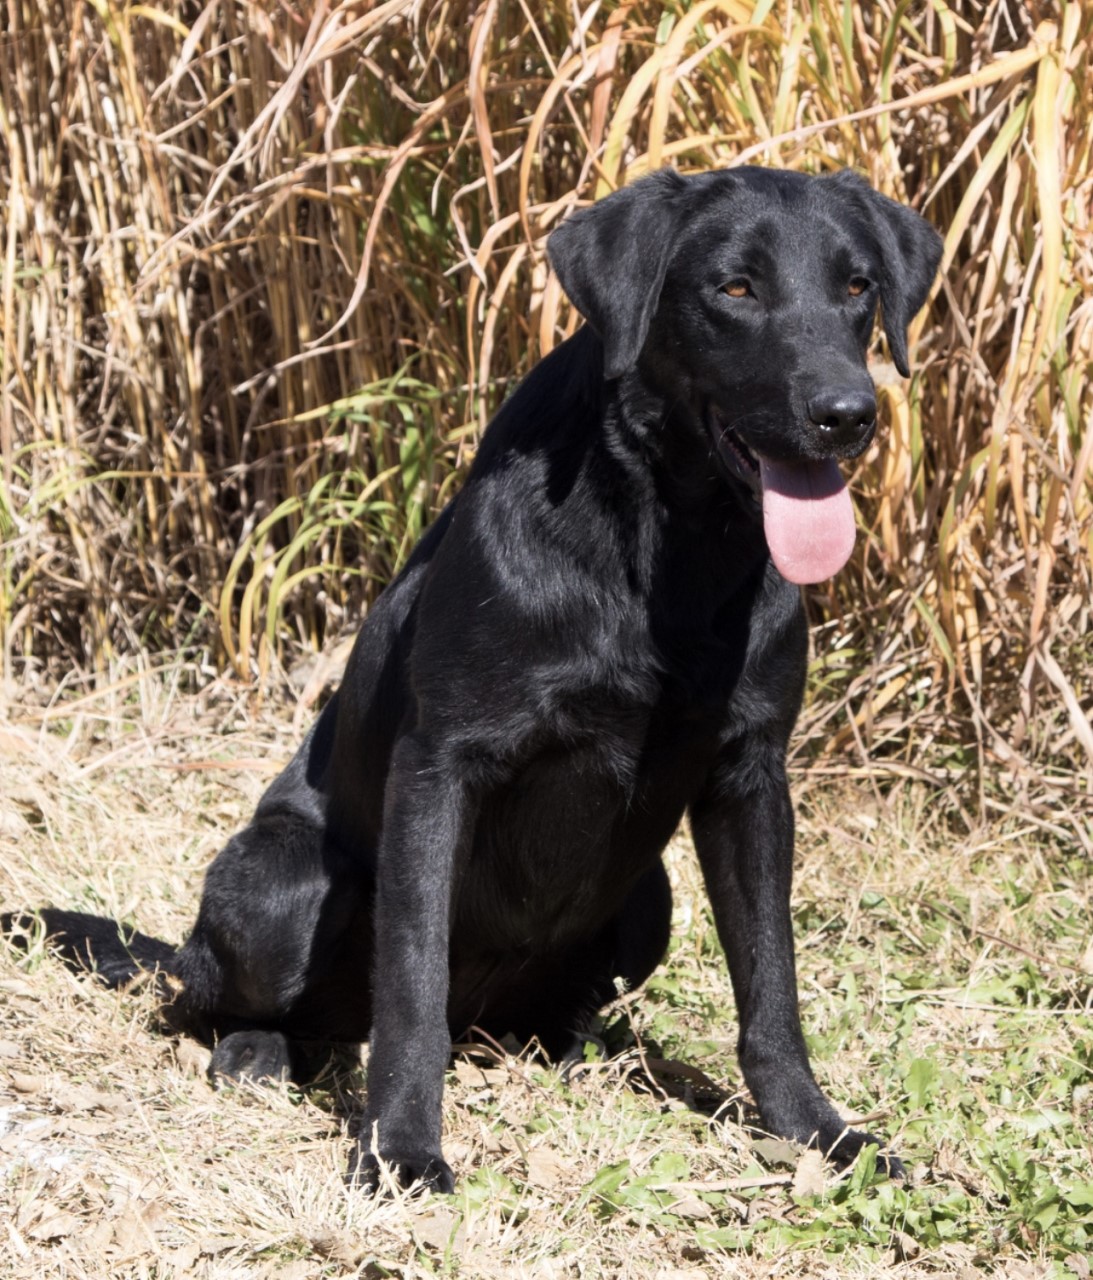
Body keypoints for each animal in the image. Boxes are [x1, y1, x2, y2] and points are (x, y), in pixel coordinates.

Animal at [2, 167, 941, 1187]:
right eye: (734, 287)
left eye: (856, 287)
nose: (847, 415)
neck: (665, 550)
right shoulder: (438, 768)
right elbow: (411, 982)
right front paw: (402, 1149)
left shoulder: (750, 775)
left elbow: (770, 979)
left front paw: (817, 1131)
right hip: (279, 885)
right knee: (223, 1000)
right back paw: (258, 1049)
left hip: (646, 901)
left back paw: (574, 1047)